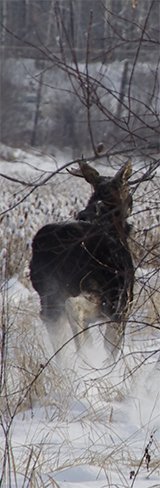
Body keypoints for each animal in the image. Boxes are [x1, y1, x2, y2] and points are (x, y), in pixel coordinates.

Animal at [29, 160, 134, 358]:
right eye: (127, 189)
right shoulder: (123, 309)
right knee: (73, 310)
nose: (131, 204)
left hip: (47, 294)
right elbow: (111, 352)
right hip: (103, 296)